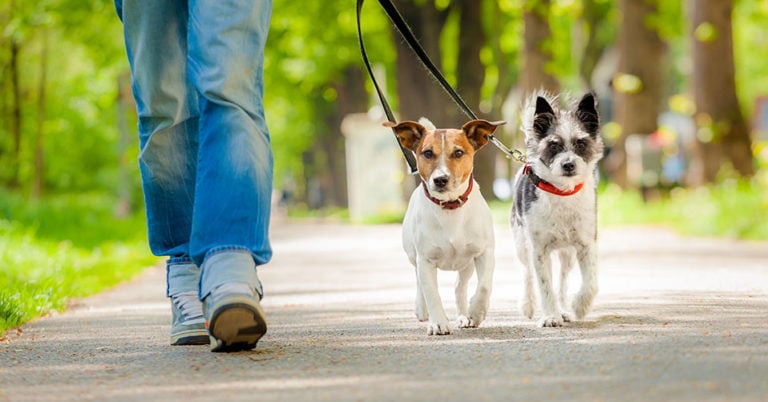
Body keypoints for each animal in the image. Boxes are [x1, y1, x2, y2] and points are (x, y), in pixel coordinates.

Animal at [384, 118, 504, 334]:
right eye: (427, 153)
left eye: (458, 153)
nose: (440, 179)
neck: (450, 207)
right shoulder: (425, 260)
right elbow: (432, 293)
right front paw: (438, 322)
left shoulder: (484, 253)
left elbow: (484, 286)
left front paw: (476, 312)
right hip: (414, 257)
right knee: (420, 283)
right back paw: (422, 309)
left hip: (466, 264)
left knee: (459, 286)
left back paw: (464, 316)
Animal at [512, 91, 604, 326]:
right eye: (553, 145)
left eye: (581, 143)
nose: (568, 164)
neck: (562, 192)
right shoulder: (539, 250)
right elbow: (544, 286)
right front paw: (550, 316)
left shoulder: (586, 245)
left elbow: (591, 283)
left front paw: (579, 307)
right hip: (522, 244)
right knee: (528, 274)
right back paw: (529, 305)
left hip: (567, 254)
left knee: (562, 281)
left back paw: (563, 308)